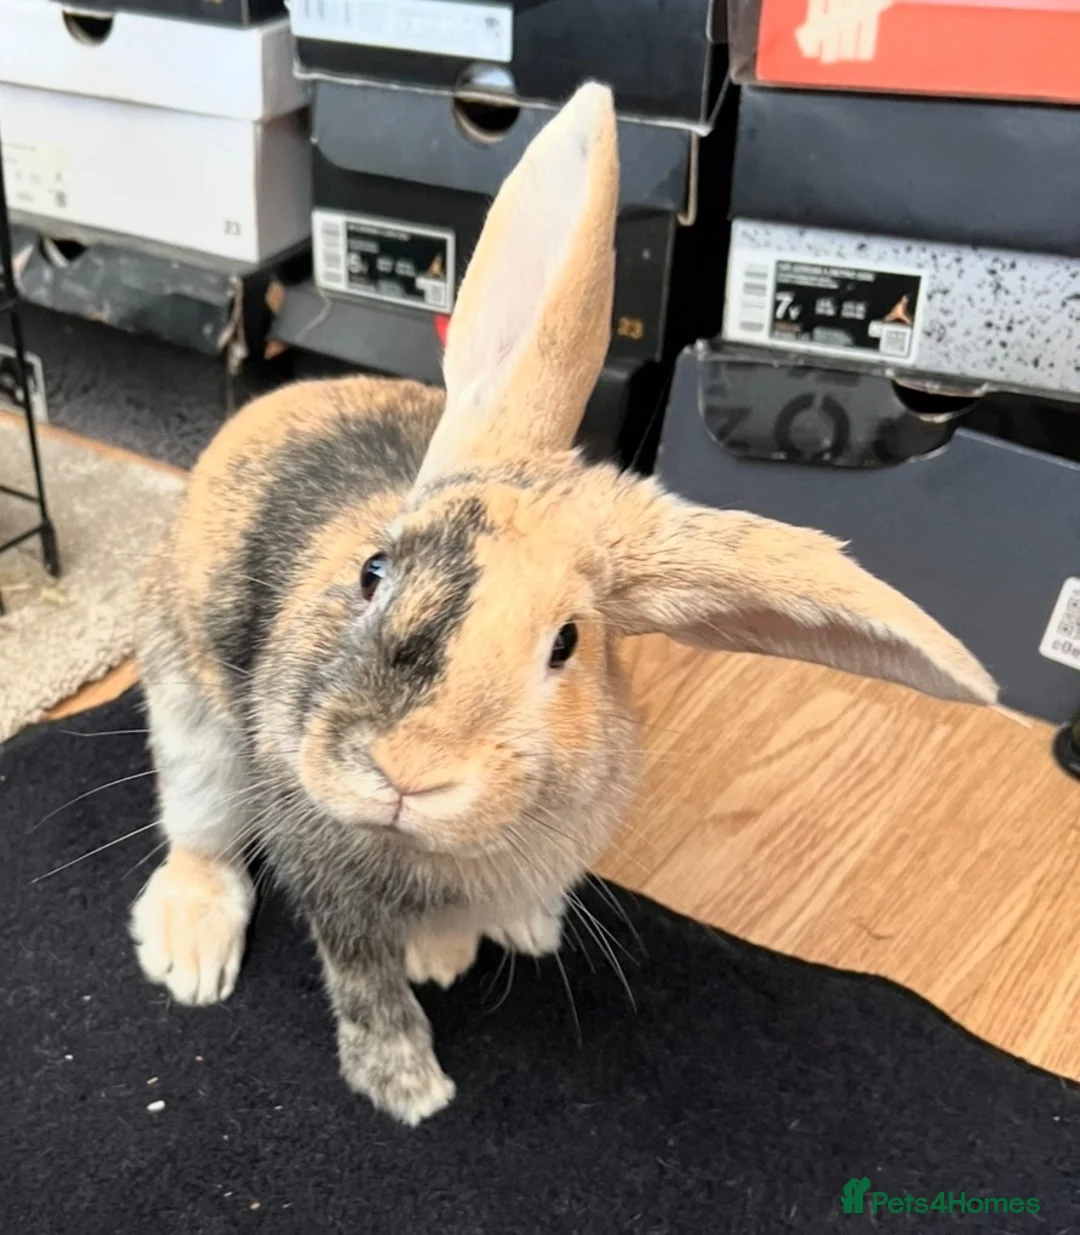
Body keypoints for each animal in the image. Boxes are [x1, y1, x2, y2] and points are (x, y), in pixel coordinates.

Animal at [128, 82, 997, 1126]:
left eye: (568, 643)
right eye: (373, 573)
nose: (407, 772)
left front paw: (459, 947)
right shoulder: (322, 863)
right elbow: (364, 980)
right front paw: (410, 1089)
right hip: (193, 720)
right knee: (201, 834)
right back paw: (190, 953)